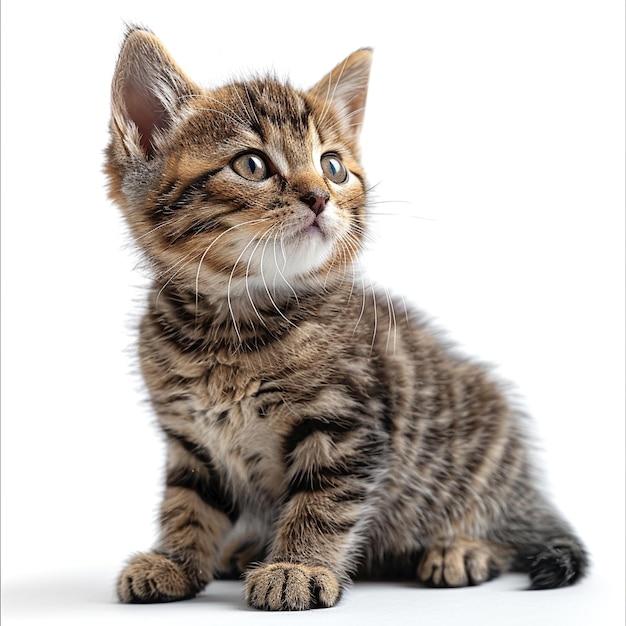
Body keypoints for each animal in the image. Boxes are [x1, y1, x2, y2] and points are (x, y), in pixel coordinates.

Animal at [105, 26, 588, 608]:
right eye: (251, 165)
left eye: (333, 166)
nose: (319, 197)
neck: (230, 322)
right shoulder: (191, 440)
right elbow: (187, 502)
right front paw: (175, 560)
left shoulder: (347, 426)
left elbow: (322, 503)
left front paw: (297, 567)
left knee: (500, 530)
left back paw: (461, 549)